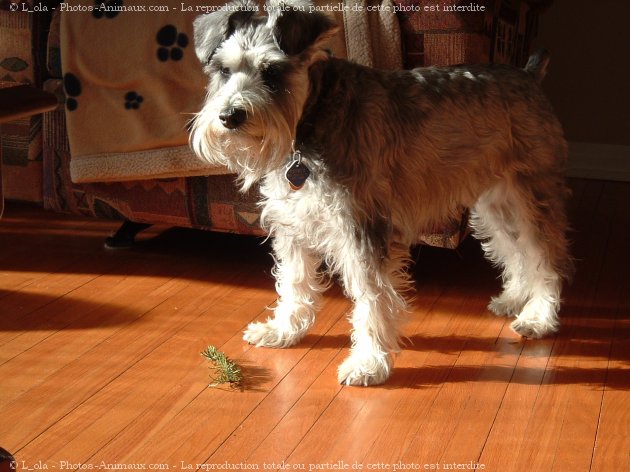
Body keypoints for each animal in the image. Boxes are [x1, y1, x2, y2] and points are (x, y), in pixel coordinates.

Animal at [190, 0, 576, 388]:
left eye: (272, 72)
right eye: (222, 70)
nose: (229, 116)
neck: (311, 116)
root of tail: (528, 75)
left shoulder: (363, 229)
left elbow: (371, 298)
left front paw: (368, 363)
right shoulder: (293, 225)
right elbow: (294, 282)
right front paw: (283, 331)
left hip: (531, 198)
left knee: (546, 258)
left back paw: (539, 316)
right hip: (495, 206)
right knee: (516, 252)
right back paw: (514, 299)